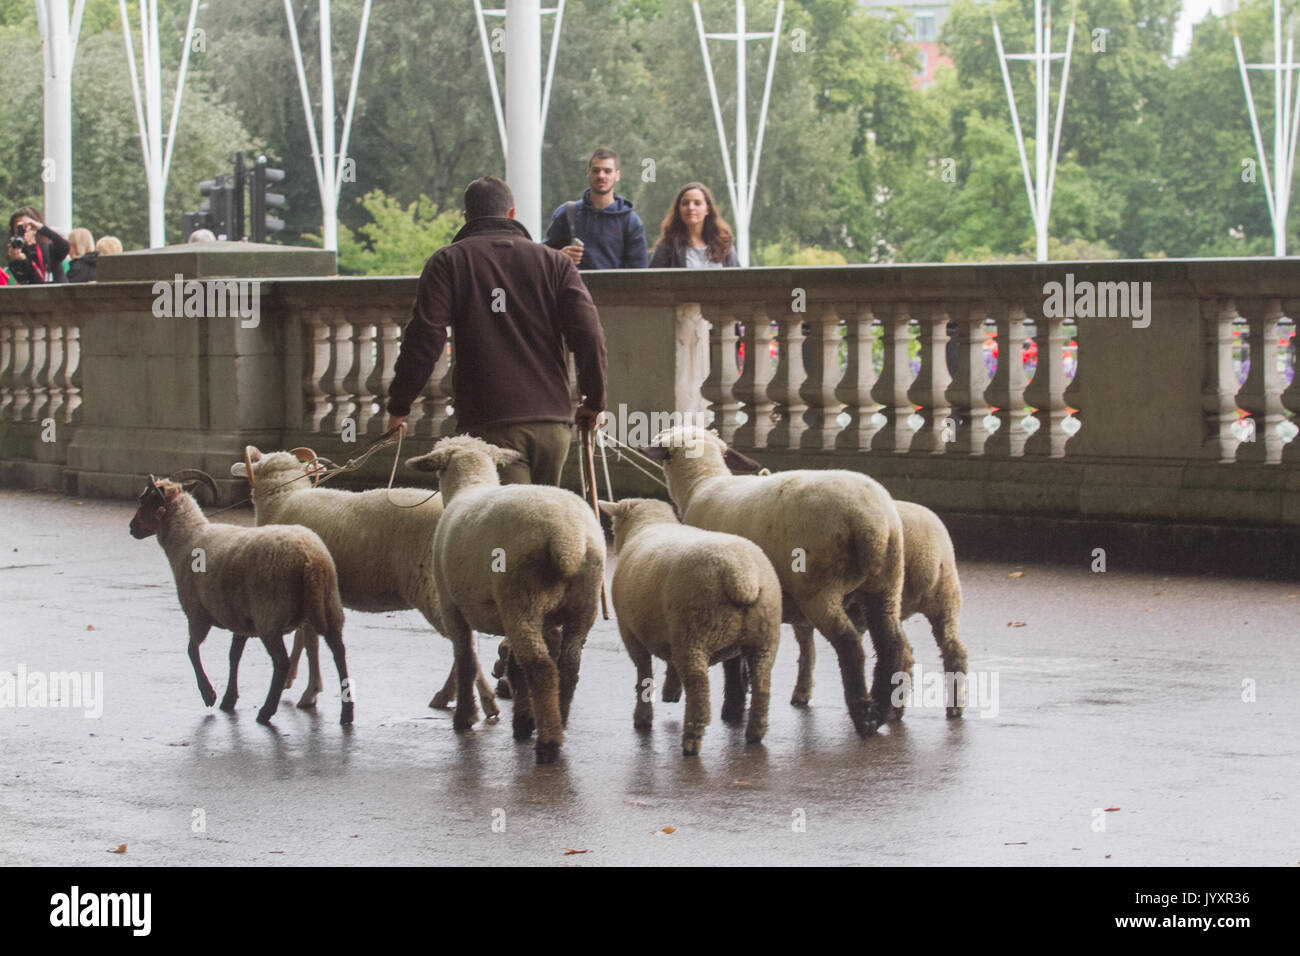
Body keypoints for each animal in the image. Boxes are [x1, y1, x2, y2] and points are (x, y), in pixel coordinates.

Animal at [127, 470, 353, 723]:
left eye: (143, 500)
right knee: (339, 650)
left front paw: (209, 695)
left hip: (270, 614)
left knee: (281, 662)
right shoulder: (239, 618)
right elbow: (233, 656)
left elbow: (192, 650)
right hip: (328, 605)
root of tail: (310, 558)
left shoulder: (197, 613)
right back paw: (347, 712)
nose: (131, 527)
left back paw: (266, 711)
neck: (187, 538)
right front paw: (229, 699)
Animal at [228, 447, 496, 717]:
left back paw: (480, 699)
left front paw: (309, 691)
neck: (284, 499)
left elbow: (309, 644)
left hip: (430, 588)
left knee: (464, 641)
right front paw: (294, 678)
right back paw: (452, 696)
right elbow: (305, 641)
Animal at [405, 437, 603, 764]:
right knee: (568, 667)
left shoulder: (451, 606)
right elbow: (514, 668)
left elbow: (466, 659)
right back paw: (558, 721)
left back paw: (548, 743)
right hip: (580, 604)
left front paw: (465, 717)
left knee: (541, 668)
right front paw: (523, 719)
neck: (471, 482)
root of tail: (568, 539)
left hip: (521, 598)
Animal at [598, 502, 780, 754]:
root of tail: (740, 576)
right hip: (763, 637)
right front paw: (671, 691)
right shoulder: (669, 631)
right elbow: (669, 664)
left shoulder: (630, 631)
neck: (650, 523)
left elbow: (644, 672)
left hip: (694, 633)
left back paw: (691, 740)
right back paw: (755, 733)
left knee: (698, 688)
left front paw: (643, 717)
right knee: (762, 683)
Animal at [642, 429, 909, 738]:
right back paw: (881, 708)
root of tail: (872, 523)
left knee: (849, 643)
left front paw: (732, 707)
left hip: (819, 589)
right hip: (887, 582)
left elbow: (733, 659)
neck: (702, 482)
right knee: (892, 643)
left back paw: (864, 716)